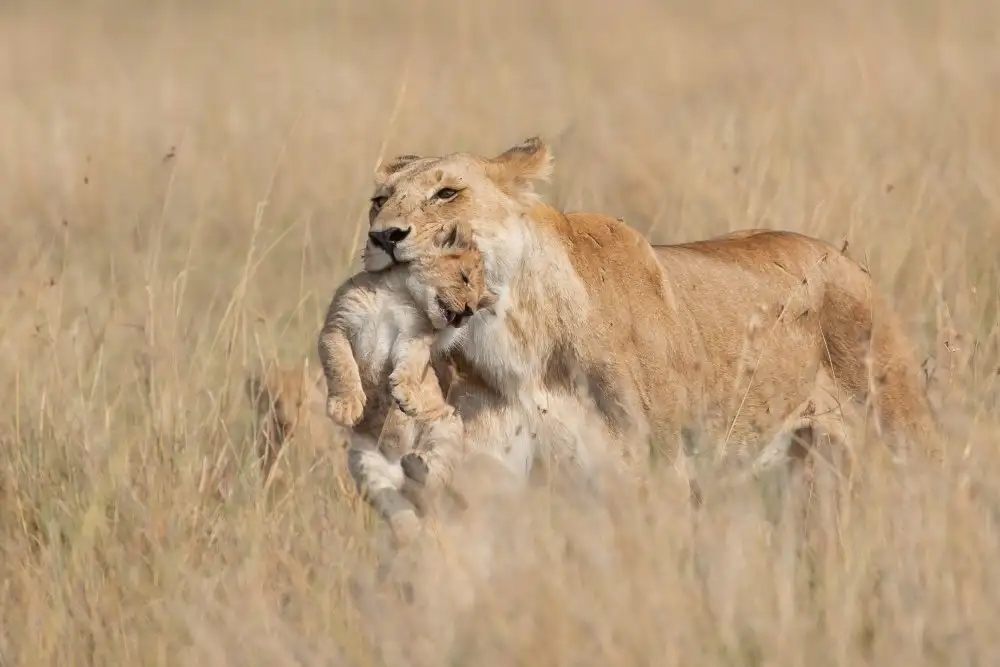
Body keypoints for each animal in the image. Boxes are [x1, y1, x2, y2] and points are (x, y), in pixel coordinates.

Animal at [317, 226, 497, 544]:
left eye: (478, 299)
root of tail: (399, 469)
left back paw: (418, 467)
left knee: (433, 483)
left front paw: (406, 396)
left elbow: (412, 364)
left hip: (446, 428)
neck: (394, 292)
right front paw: (346, 407)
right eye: (464, 277)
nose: (469, 312)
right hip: (366, 467)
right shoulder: (335, 328)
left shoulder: (413, 337)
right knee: (397, 506)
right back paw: (407, 534)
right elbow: (341, 365)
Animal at [361, 136, 941, 502]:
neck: (513, 336)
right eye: (378, 200)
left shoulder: (658, 465)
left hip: (899, 431)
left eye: (447, 192)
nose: (383, 237)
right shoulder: (494, 463)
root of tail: (847, 261)